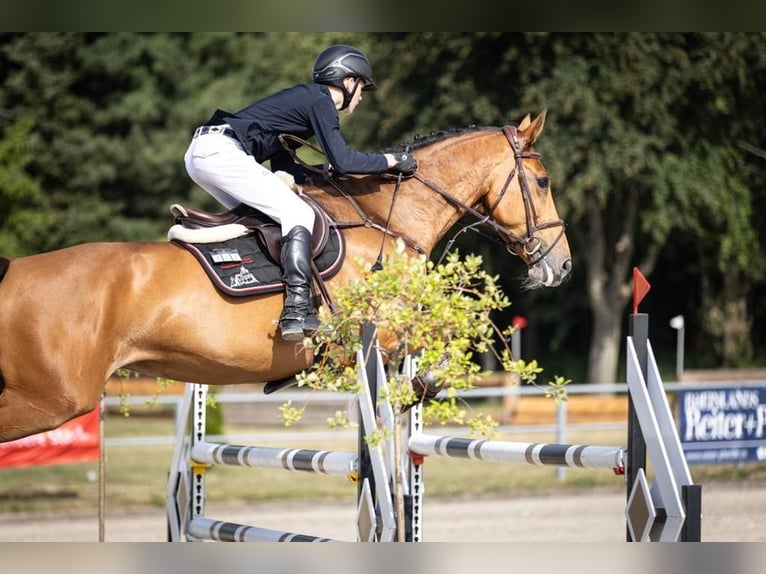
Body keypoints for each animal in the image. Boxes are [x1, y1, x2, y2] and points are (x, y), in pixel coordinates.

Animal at [0, 111, 570, 442]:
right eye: (543, 182)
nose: (561, 264)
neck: (385, 219)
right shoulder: (377, 332)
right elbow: (446, 335)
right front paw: (423, 383)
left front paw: (420, 386)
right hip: (53, 398)